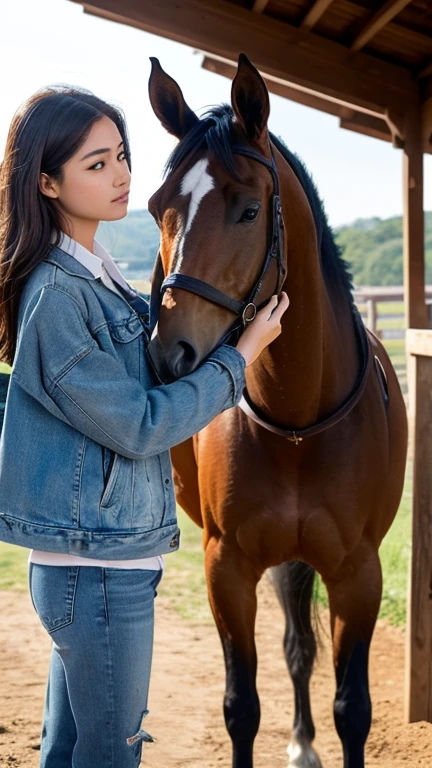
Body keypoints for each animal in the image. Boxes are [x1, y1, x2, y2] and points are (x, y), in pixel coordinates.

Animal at [147, 55, 406, 768]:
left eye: (249, 209)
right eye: (157, 208)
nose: (169, 353)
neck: (298, 423)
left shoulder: (358, 575)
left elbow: (353, 710)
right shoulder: (227, 569)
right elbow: (241, 706)